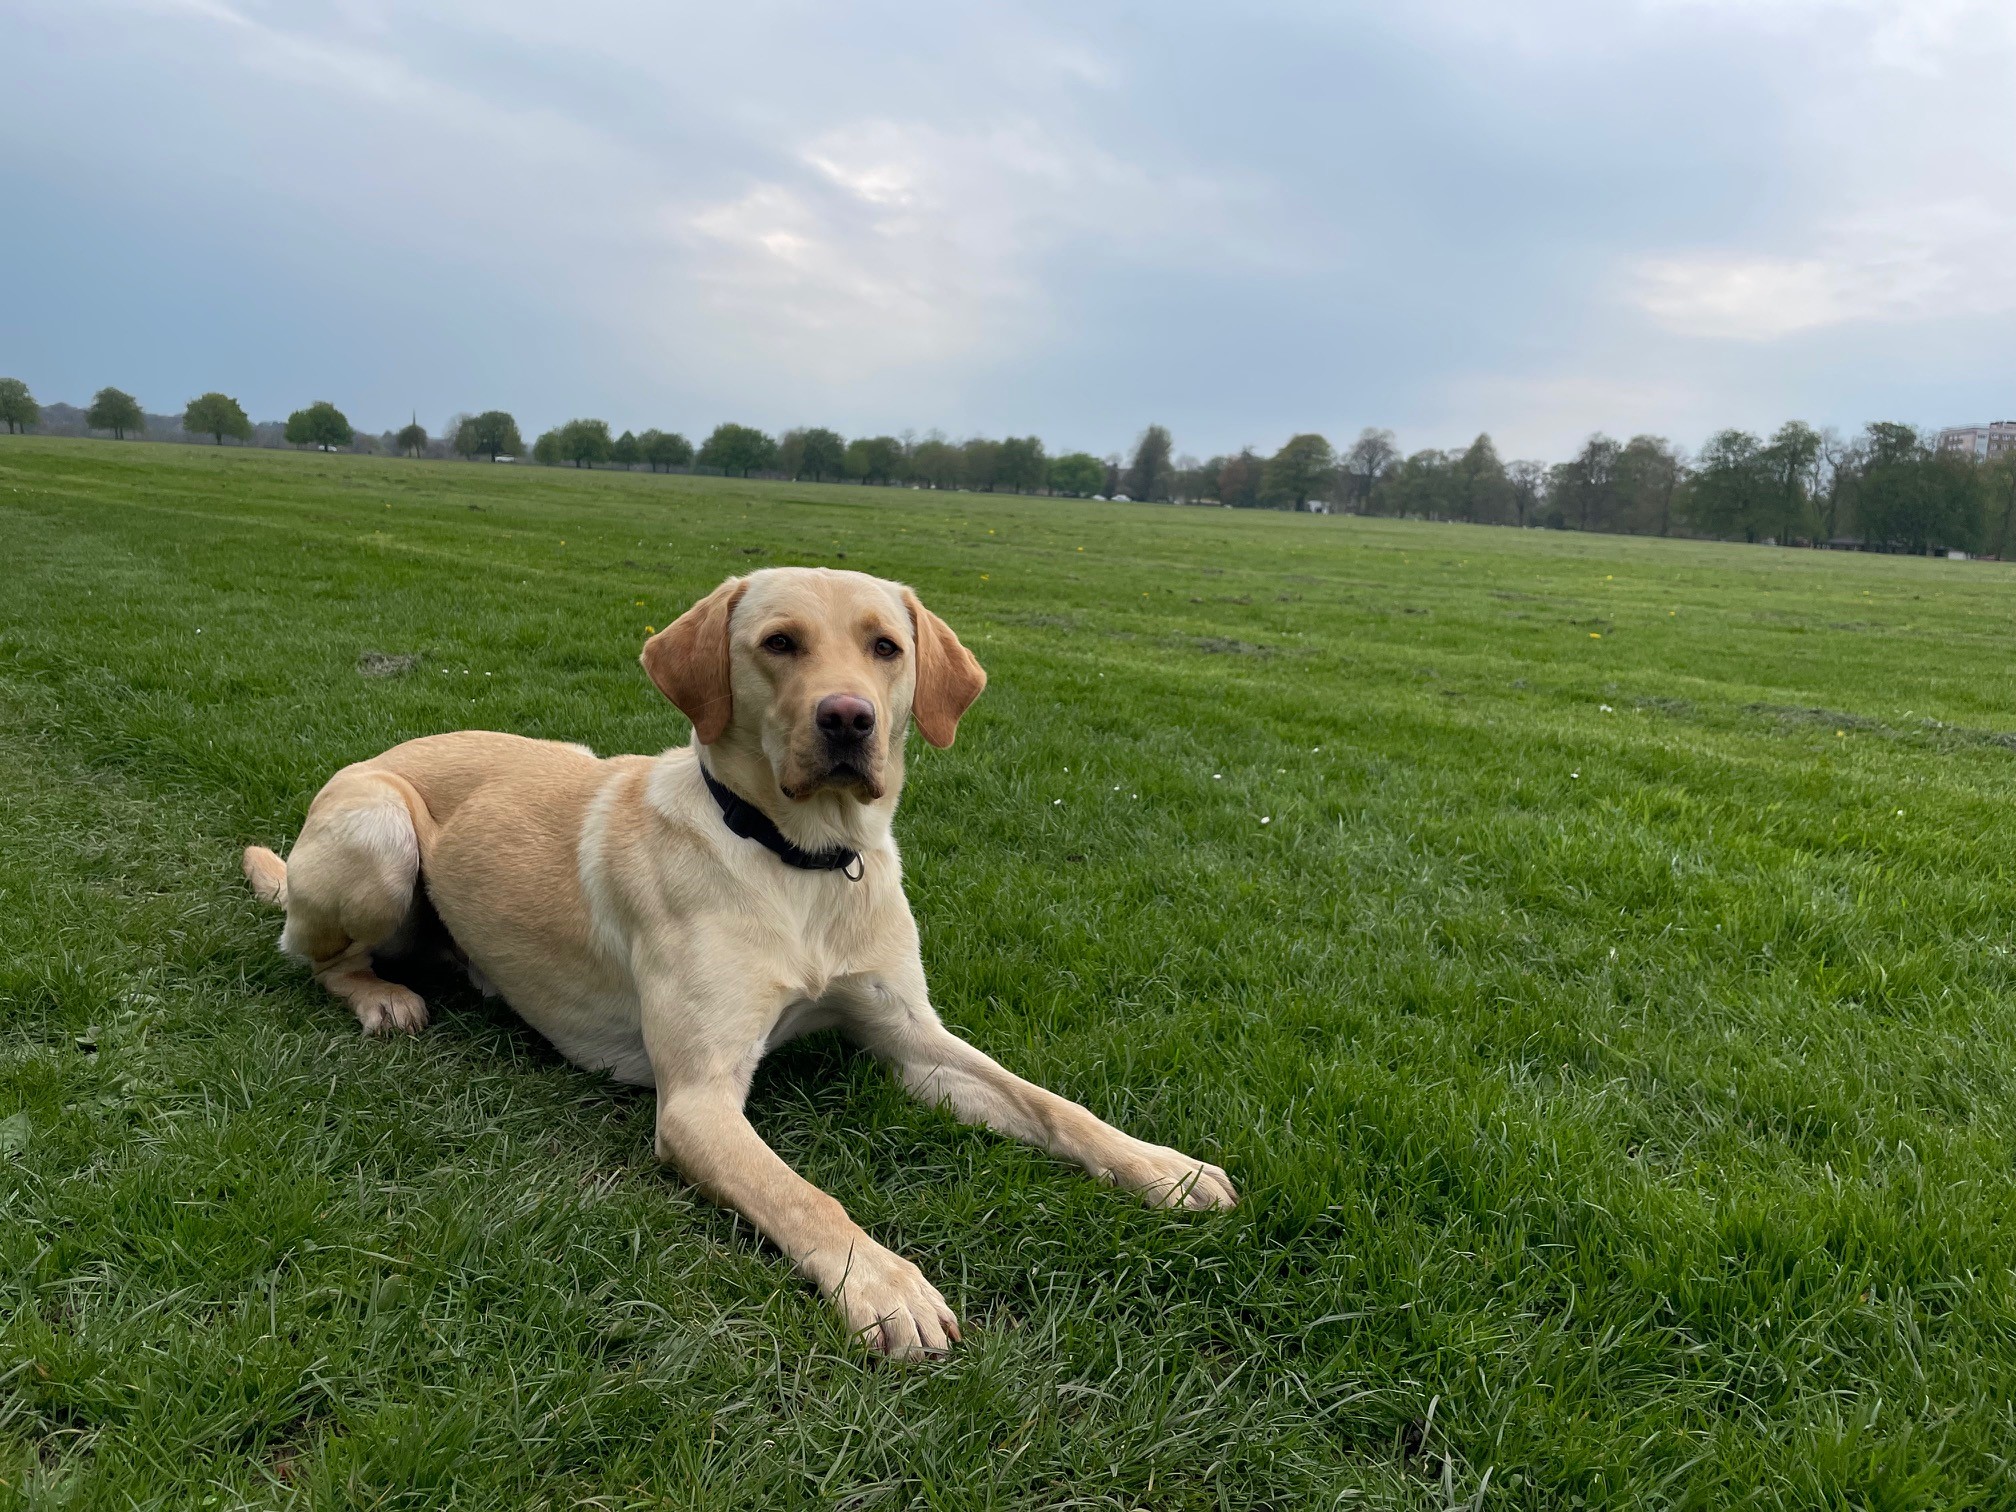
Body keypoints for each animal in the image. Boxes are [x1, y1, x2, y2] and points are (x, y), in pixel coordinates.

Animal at [245, 568, 1233, 1362]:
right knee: (312, 954)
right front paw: (886, 1285)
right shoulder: (698, 1103)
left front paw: (1164, 1168)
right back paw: (380, 996)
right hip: (376, 836)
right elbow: (804, 1196)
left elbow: (1054, 1106)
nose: (848, 718)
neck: (804, 862)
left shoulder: (914, 1038)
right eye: (779, 643)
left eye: (885, 647)